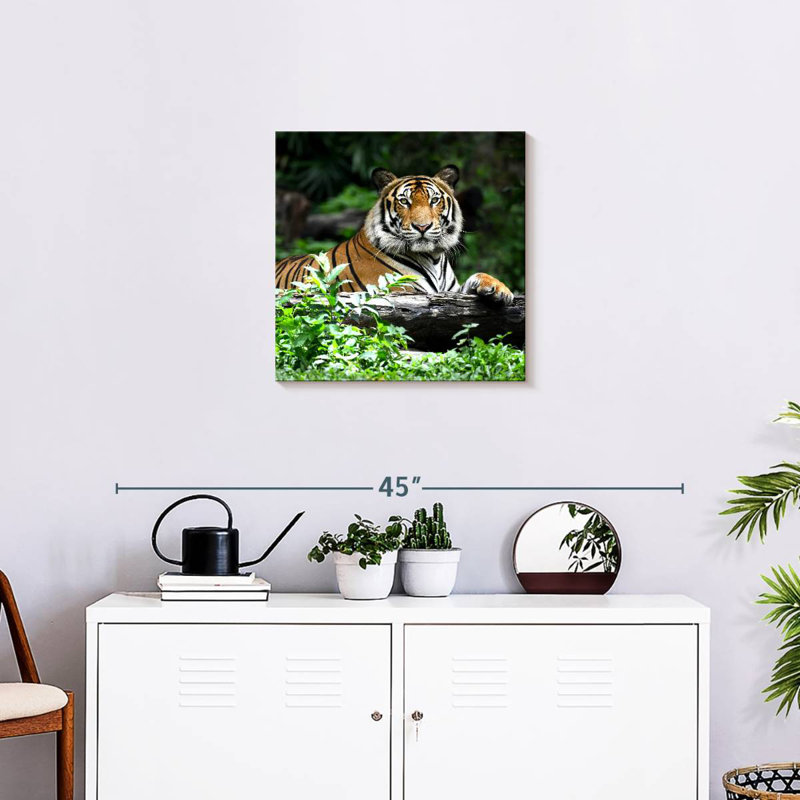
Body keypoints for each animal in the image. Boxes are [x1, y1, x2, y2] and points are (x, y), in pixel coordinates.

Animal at [275, 165, 514, 304]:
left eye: (434, 200)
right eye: (404, 201)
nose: (422, 227)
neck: (433, 258)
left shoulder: (449, 291)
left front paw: (499, 289)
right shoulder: (401, 290)